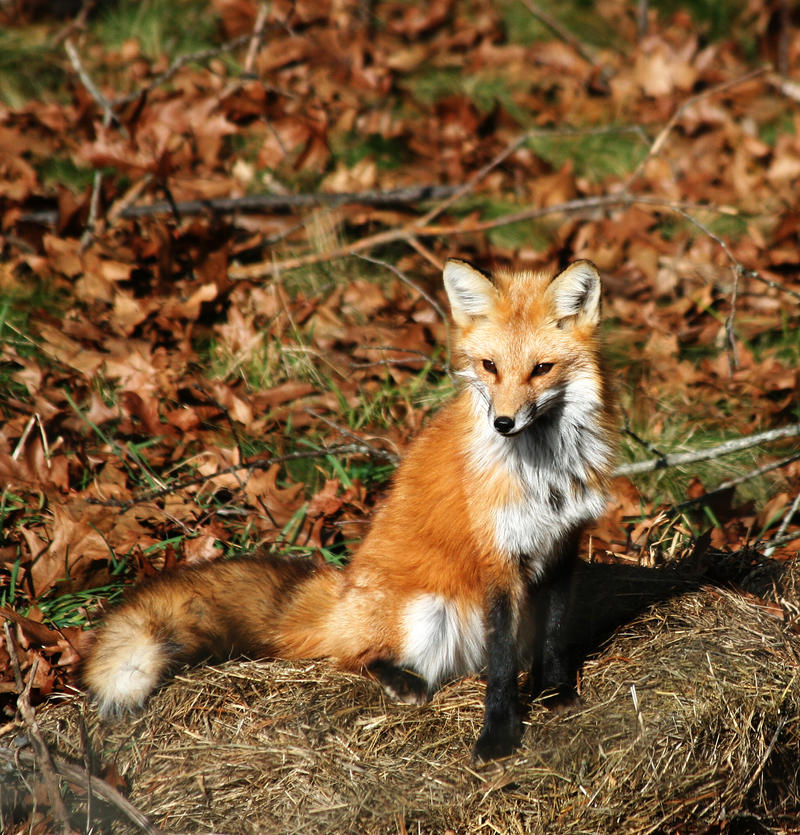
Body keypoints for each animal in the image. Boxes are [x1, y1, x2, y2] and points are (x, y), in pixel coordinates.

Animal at [83, 258, 620, 760]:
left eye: (541, 369)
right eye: (490, 366)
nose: (503, 423)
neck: (545, 475)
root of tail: (341, 593)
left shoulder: (562, 545)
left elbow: (553, 634)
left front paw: (555, 693)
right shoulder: (497, 558)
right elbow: (504, 665)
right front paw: (498, 735)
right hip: (426, 613)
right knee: (352, 656)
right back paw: (401, 680)